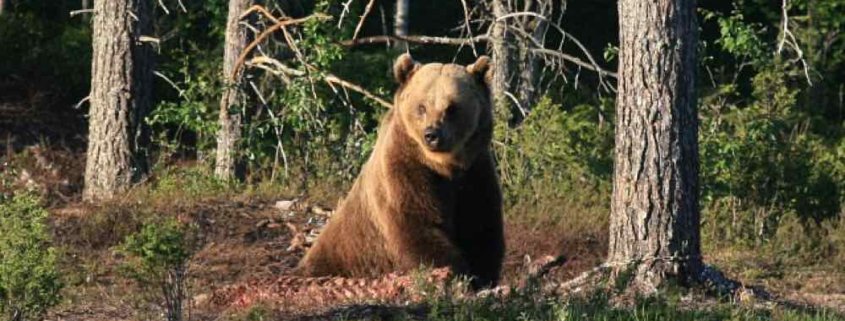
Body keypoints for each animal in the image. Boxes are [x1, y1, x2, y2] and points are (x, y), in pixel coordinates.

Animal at [296, 53, 504, 288]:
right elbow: (418, 226)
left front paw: (480, 276)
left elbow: (480, 226)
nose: (432, 135)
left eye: (452, 108)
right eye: (422, 107)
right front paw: (456, 273)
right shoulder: (404, 171)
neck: (443, 167)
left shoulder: (474, 173)